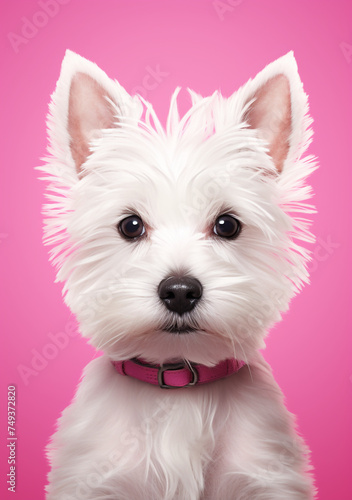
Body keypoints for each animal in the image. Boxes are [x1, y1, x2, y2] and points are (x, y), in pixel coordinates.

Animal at [40, 51, 316, 500]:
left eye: (227, 225)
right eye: (130, 225)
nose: (181, 291)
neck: (180, 388)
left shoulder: (266, 476)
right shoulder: (94, 480)